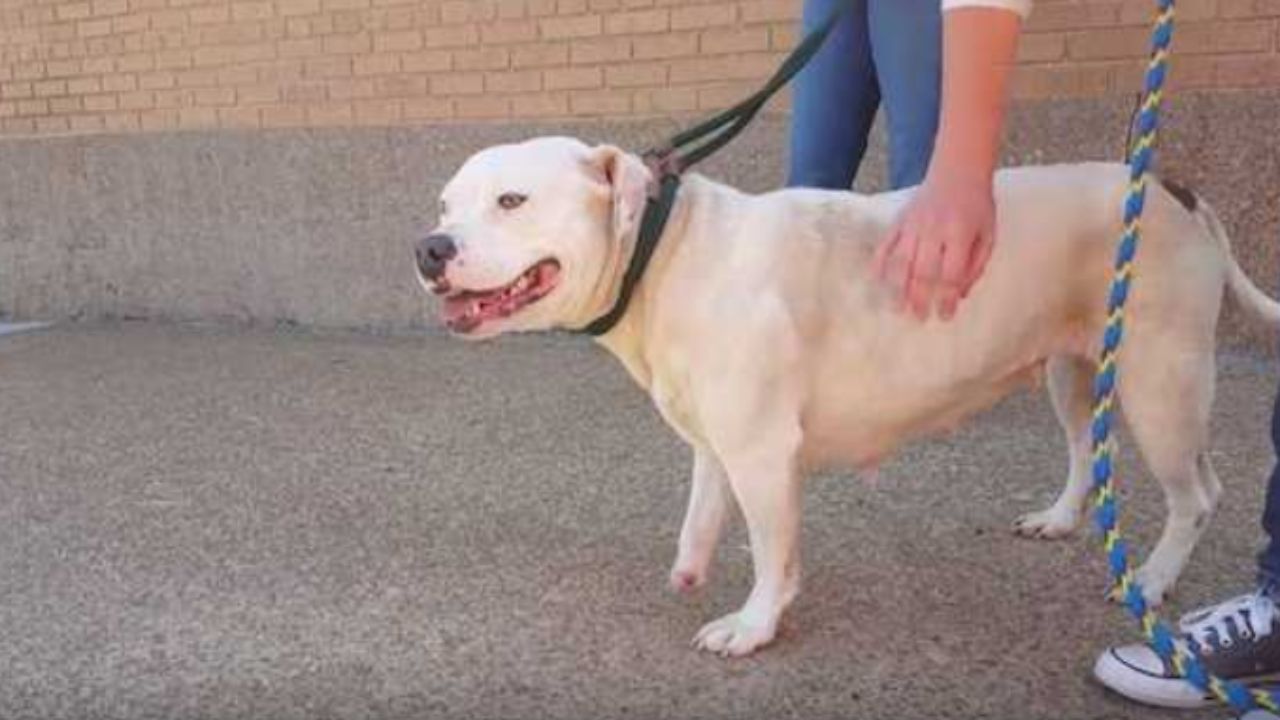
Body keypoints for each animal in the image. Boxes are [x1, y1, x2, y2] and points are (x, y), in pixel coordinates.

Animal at [414, 134, 1274, 655]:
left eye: (513, 201)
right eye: (445, 205)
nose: (429, 246)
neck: (664, 253)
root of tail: (1169, 187)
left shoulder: (763, 454)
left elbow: (771, 549)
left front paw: (755, 624)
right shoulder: (719, 438)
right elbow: (703, 505)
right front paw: (691, 565)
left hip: (1160, 381)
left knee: (1197, 492)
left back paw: (1154, 580)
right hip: (1072, 369)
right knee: (1082, 447)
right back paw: (1062, 517)